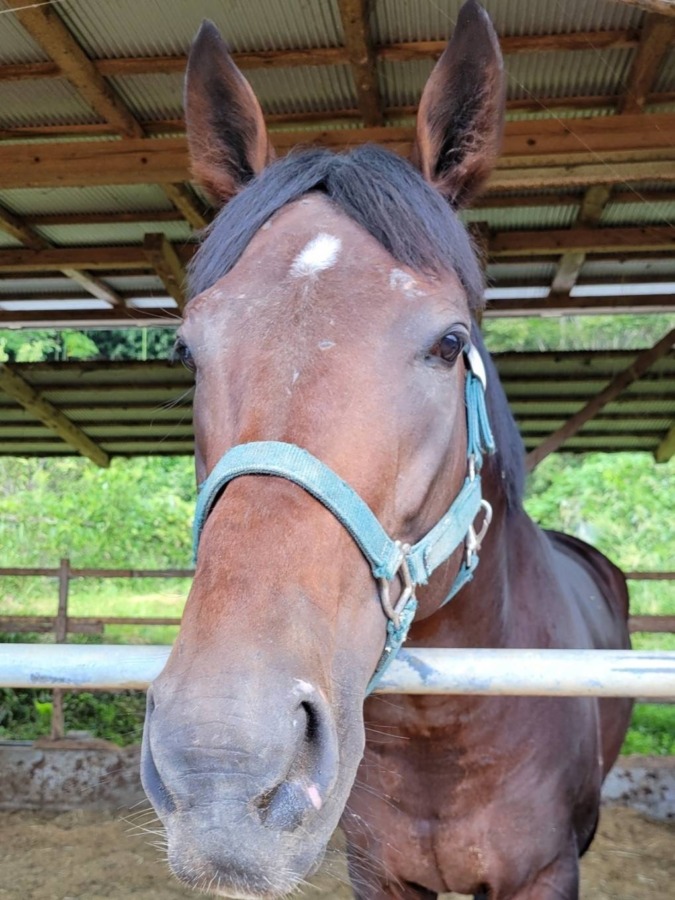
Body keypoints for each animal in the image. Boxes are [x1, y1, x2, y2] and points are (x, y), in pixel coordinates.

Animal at [141, 3, 632, 896]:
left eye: (450, 342)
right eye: (188, 349)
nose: (221, 764)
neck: (441, 729)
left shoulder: (546, 872)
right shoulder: (374, 871)